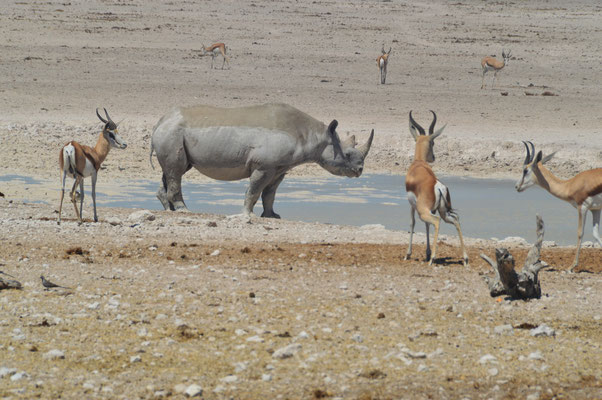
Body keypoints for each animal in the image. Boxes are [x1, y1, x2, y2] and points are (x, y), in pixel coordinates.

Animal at [404, 111, 468, 268]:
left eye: (433, 142)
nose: (433, 157)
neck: (418, 163)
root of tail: (438, 185)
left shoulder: (412, 205)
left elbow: (412, 223)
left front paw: (408, 254)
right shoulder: (430, 208)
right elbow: (426, 226)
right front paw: (426, 252)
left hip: (426, 212)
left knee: (437, 221)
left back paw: (433, 258)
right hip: (443, 211)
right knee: (456, 220)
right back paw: (465, 258)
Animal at [510, 141, 600, 272]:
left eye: (525, 170)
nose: (517, 187)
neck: (569, 185)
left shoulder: (582, 207)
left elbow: (580, 233)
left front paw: (571, 266)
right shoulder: (596, 209)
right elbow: (597, 235)